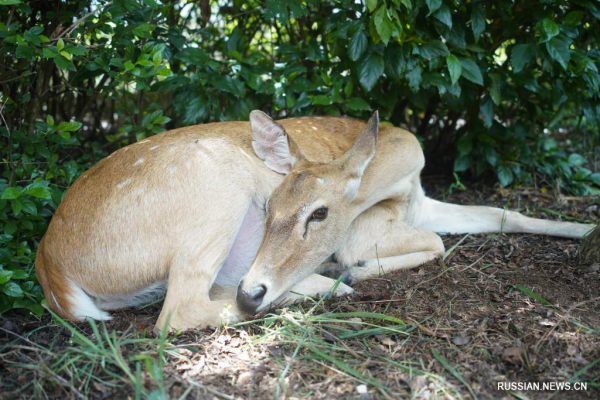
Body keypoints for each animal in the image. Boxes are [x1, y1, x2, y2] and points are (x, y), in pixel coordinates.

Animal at [36, 111, 596, 330]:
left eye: (317, 212)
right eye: (269, 208)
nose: (254, 290)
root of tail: (50, 268)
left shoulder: (422, 201)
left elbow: (501, 211)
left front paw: (584, 230)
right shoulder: (367, 230)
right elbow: (435, 244)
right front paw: (352, 271)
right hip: (213, 189)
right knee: (179, 310)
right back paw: (324, 288)